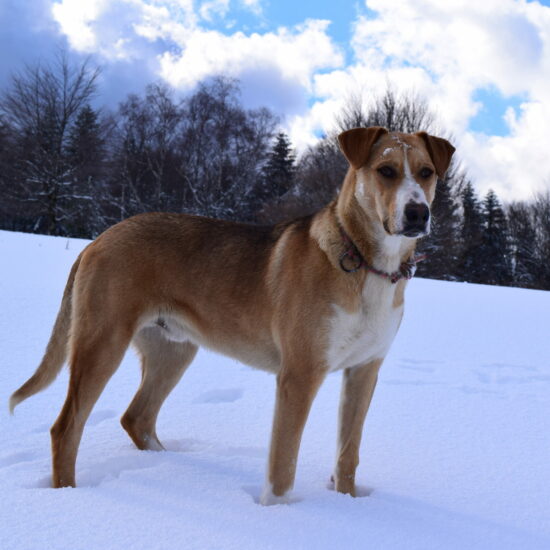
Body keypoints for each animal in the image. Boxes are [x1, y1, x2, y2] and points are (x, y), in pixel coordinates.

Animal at [9, 127, 458, 506]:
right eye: (385, 171)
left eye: (426, 172)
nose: (417, 213)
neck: (368, 264)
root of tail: (97, 240)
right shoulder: (300, 375)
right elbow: (282, 466)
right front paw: (279, 514)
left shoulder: (365, 370)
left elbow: (348, 454)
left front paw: (348, 506)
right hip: (102, 343)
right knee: (66, 427)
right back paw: (68, 496)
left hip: (173, 350)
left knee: (137, 417)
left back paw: (166, 462)